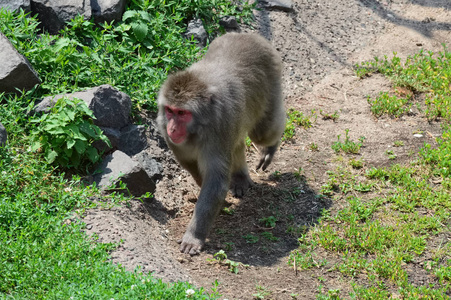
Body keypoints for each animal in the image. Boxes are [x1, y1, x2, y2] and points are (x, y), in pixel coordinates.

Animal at [157, 32, 286, 254]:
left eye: (182, 113)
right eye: (170, 111)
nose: (172, 128)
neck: (198, 128)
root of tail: (250, 35)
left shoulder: (220, 127)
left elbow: (216, 179)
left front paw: (194, 236)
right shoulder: (167, 133)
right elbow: (191, 165)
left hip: (270, 84)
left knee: (263, 133)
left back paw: (271, 146)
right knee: (237, 143)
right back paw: (240, 177)